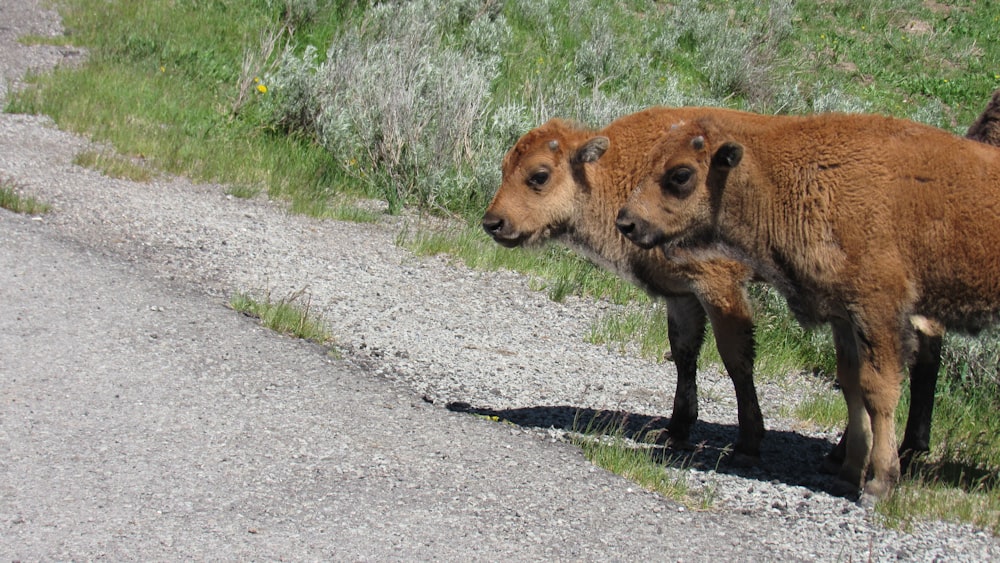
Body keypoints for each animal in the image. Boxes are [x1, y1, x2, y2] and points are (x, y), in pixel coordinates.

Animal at [616, 112, 1000, 500]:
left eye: (681, 174)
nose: (627, 222)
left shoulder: (877, 310)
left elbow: (879, 390)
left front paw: (878, 484)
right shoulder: (844, 318)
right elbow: (851, 384)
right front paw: (848, 474)